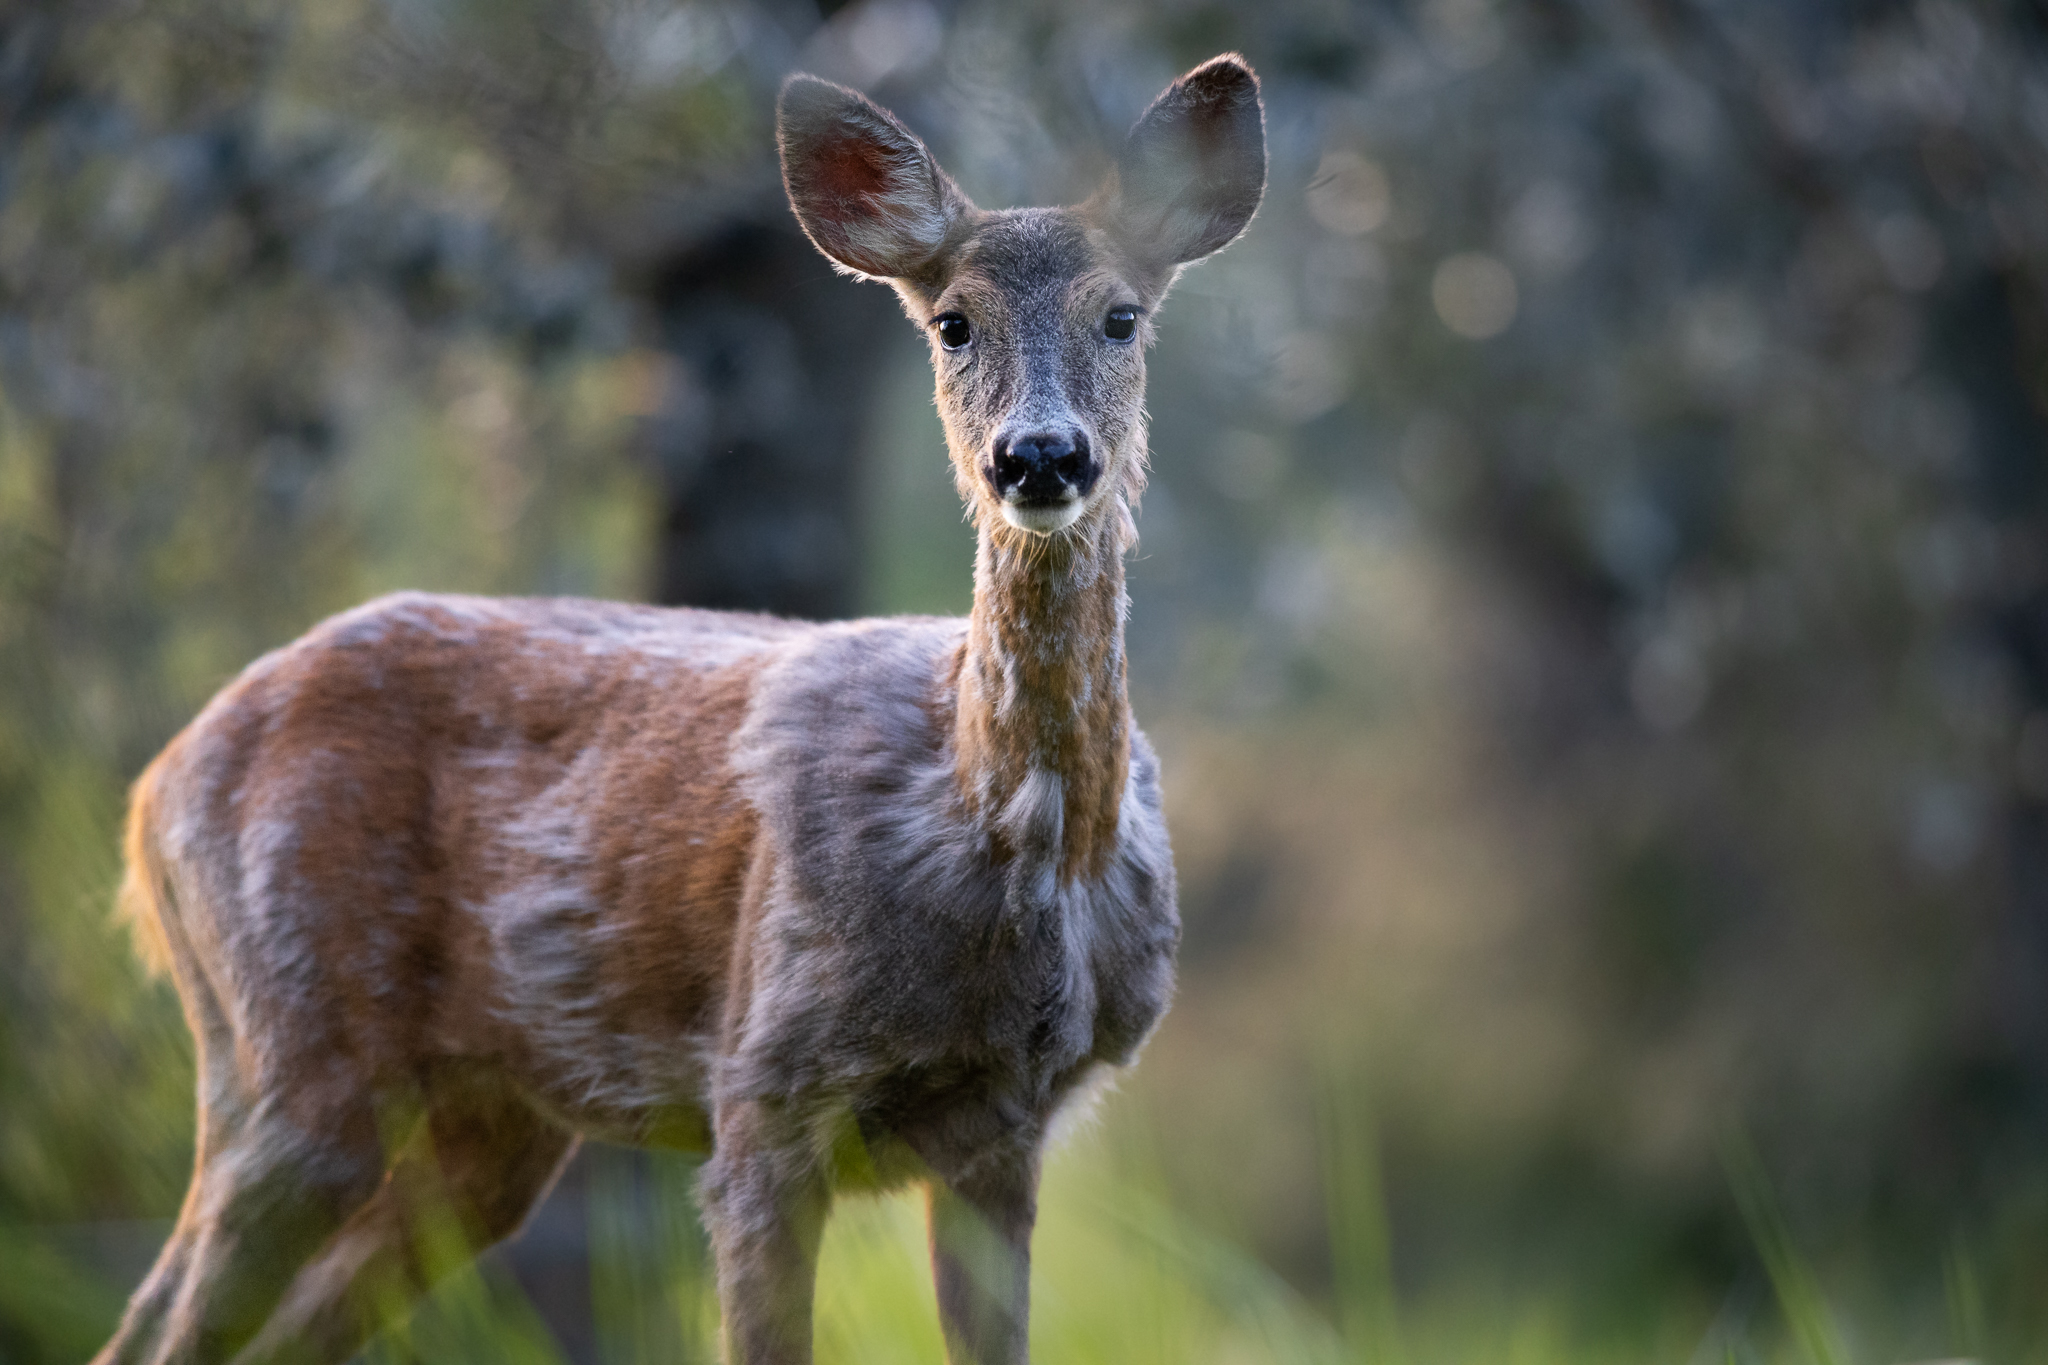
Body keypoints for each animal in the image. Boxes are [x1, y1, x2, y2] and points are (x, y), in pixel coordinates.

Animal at [93, 53, 1265, 1365]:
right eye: (951, 321)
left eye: (1122, 316)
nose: (1039, 458)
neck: (1010, 841)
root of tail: (155, 790)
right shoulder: (764, 1092)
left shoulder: (1005, 1137)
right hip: (285, 1035)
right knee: (156, 1325)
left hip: (486, 1122)